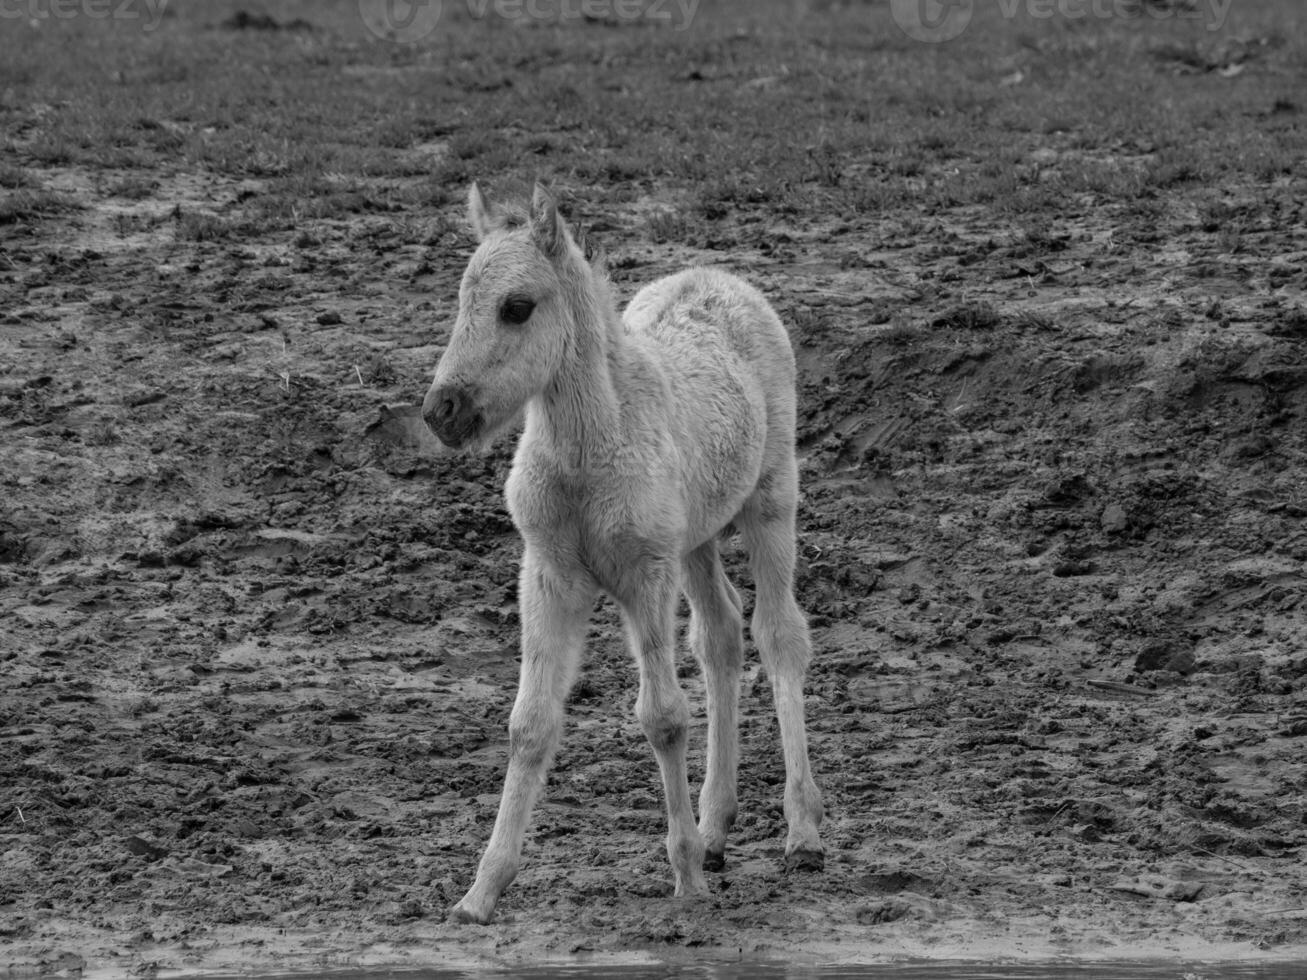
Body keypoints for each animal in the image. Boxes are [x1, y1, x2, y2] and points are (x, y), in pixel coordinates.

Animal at [423, 184, 820, 930]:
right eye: (461, 301)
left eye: (516, 306)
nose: (442, 411)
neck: (588, 453)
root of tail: (715, 276)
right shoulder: (548, 578)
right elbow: (529, 724)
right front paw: (480, 892)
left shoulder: (644, 576)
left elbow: (662, 716)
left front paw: (685, 879)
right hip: (695, 539)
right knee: (721, 635)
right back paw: (715, 827)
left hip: (769, 503)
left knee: (779, 635)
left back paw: (802, 829)